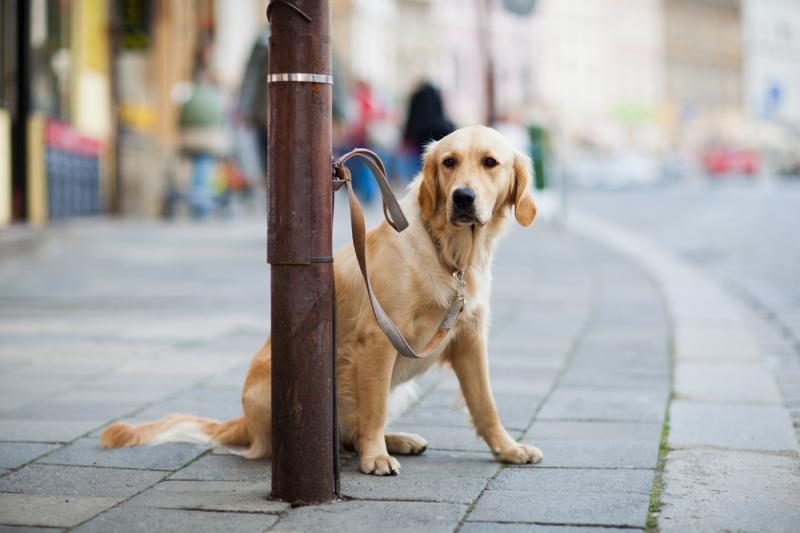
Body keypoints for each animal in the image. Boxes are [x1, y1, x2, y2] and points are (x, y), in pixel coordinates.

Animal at [97, 124, 540, 474]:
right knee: (328, 435)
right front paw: (375, 458)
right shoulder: (379, 340)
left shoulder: (469, 339)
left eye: (490, 162)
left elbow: (486, 404)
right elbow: (374, 410)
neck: (450, 254)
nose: (463, 197)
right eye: (449, 162)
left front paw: (507, 448)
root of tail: (242, 421)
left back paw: (397, 439)